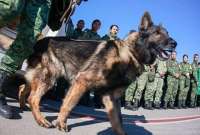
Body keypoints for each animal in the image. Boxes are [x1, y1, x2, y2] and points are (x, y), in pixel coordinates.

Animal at [18, 11, 176, 135]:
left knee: (23, 87)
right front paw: (61, 123)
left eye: (167, 33)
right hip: (50, 77)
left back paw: (23, 105)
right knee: (33, 98)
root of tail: (40, 41)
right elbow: (69, 104)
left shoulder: (111, 98)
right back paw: (41, 120)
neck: (131, 53)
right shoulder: (81, 81)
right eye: (157, 33)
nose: (175, 43)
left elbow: (117, 121)